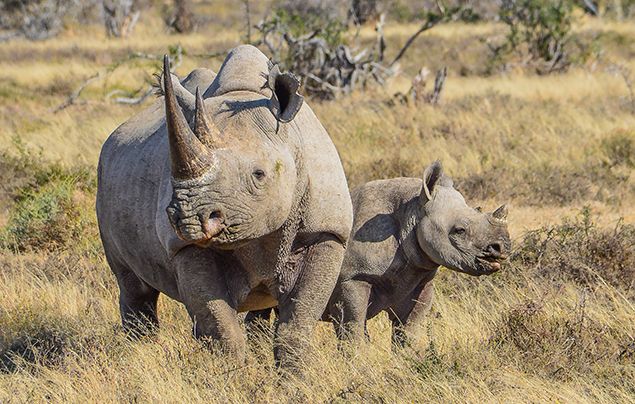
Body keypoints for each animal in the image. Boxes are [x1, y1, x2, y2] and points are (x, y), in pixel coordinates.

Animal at [95, 45, 352, 370]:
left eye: (259, 175)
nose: (189, 218)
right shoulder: (184, 246)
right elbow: (220, 328)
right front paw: (231, 376)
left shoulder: (326, 232)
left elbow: (297, 323)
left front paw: (295, 379)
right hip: (104, 180)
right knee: (134, 287)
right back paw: (139, 354)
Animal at [248, 160, 512, 344]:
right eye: (459, 230)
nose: (501, 249)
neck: (412, 211)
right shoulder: (353, 277)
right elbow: (353, 326)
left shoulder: (420, 277)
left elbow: (410, 330)